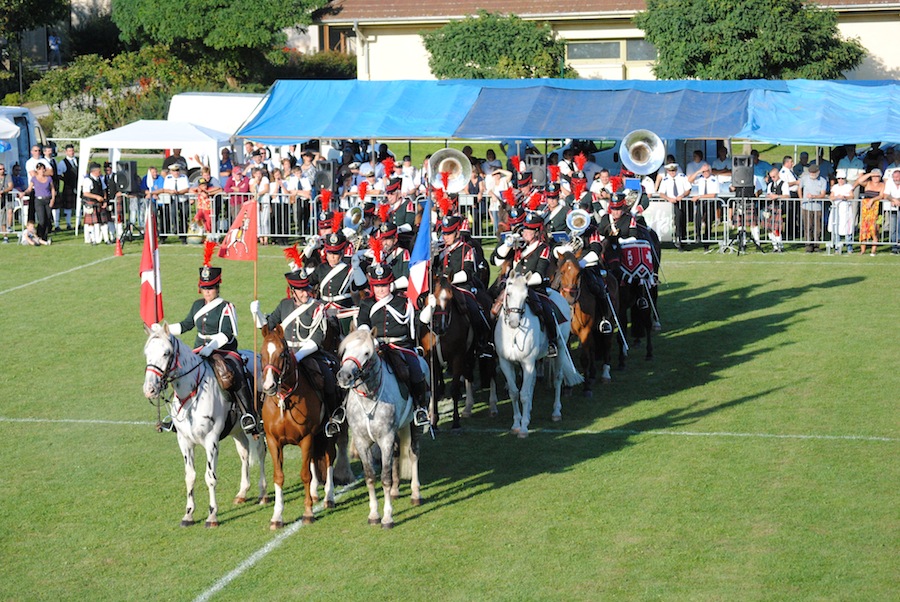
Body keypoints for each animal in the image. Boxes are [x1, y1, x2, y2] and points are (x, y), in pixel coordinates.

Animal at [142, 324, 268, 524]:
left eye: (166, 353)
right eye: (147, 352)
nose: (150, 389)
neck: (192, 392)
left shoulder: (211, 441)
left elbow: (210, 477)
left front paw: (212, 515)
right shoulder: (184, 442)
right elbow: (190, 476)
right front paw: (188, 514)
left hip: (259, 425)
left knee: (262, 452)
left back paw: (263, 493)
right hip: (237, 431)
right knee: (244, 453)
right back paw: (242, 492)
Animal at [258, 326, 350, 528]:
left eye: (282, 353)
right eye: (262, 354)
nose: (269, 386)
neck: (286, 399)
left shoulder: (306, 438)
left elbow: (305, 474)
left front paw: (308, 513)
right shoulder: (273, 441)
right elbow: (279, 476)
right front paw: (277, 516)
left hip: (327, 434)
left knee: (329, 458)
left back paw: (329, 497)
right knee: (315, 459)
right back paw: (315, 493)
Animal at [334, 326, 426, 528]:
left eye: (367, 353)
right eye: (345, 349)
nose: (344, 376)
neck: (369, 399)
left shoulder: (385, 440)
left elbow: (384, 478)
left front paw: (387, 517)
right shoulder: (361, 442)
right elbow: (370, 477)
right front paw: (374, 514)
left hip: (414, 425)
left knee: (414, 454)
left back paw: (415, 494)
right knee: (398, 453)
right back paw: (396, 490)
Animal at [492, 272, 584, 436]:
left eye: (525, 296)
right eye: (508, 294)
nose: (514, 322)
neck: (513, 333)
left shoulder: (527, 362)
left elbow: (524, 394)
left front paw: (523, 428)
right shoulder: (505, 363)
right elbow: (514, 393)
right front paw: (516, 423)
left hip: (560, 348)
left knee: (558, 378)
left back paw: (556, 412)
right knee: (533, 382)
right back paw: (528, 412)